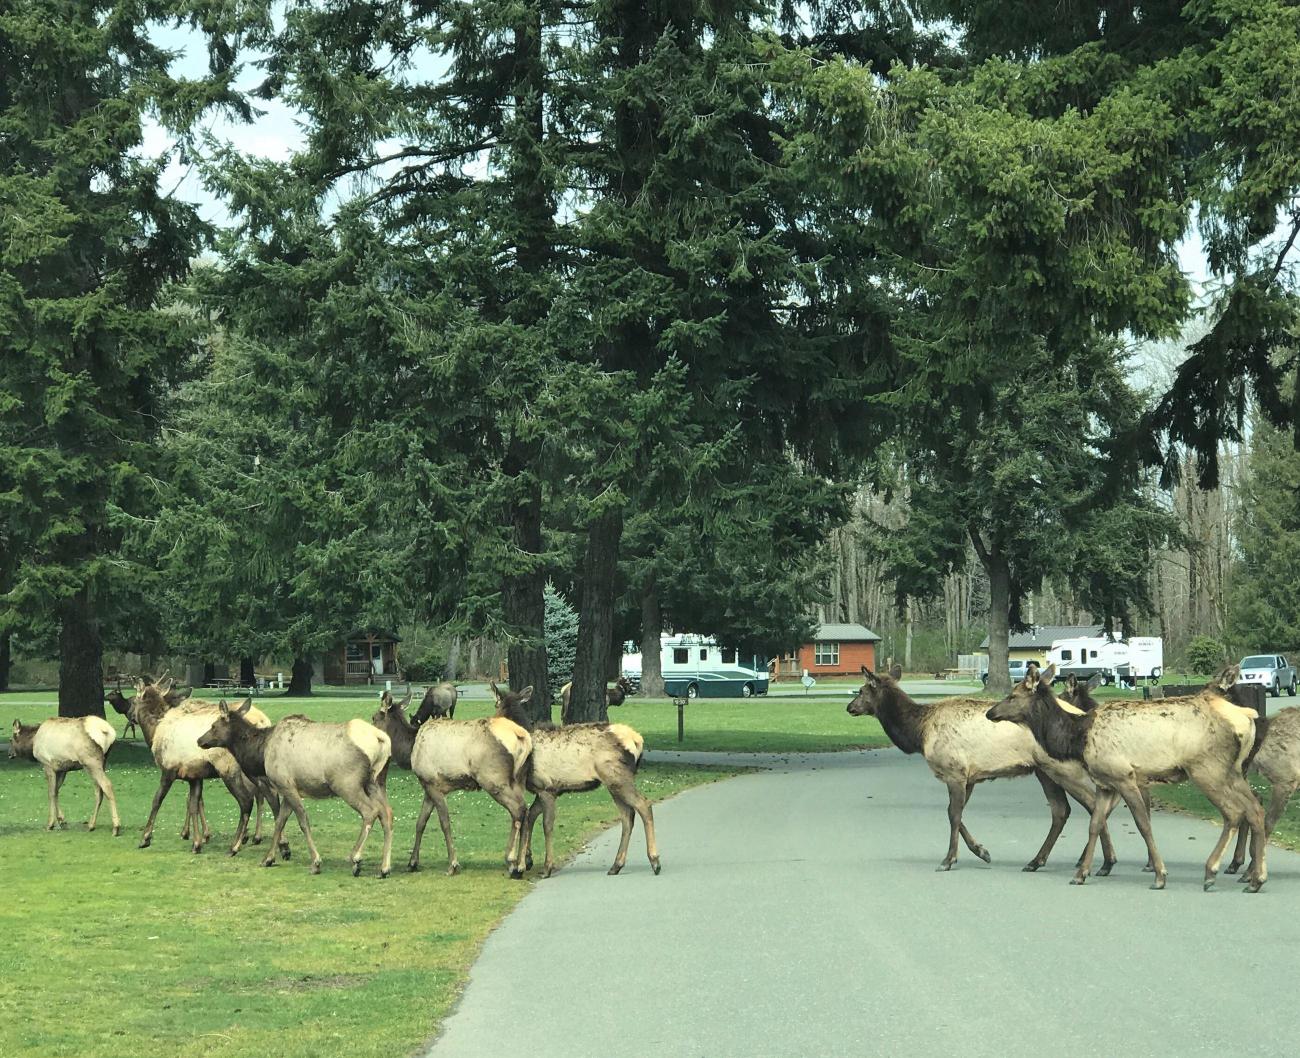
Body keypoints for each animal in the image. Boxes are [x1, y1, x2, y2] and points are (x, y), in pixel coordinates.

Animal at [131, 681, 279, 863]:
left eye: (133, 700)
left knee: (248, 800)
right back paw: (277, 844)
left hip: (229, 770)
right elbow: (194, 803)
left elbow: (158, 800)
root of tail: (262, 722)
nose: (131, 716)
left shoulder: (169, 769)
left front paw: (146, 838)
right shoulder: (194, 776)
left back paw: (237, 845)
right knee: (271, 796)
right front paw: (197, 841)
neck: (154, 731)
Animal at [195, 696, 392, 878]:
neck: (260, 754)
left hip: (346, 784)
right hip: (376, 782)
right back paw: (384, 868)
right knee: (387, 814)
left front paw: (316, 862)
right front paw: (269, 858)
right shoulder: (287, 788)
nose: (199, 740)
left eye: (213, 726)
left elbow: (302, 821)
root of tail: (381, 739)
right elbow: (280, 821)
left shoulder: (285, 783)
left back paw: (356, 858)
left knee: (370, 811)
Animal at [493, 681, 665, 883]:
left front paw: (546, 867)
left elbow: (546, 825)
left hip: (618, 777)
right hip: (613, 783)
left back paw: (655, 861)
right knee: (627, 815)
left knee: (643, 805)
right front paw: (526, 861)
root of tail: (638, 741)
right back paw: (616, 865)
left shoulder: (546, 788)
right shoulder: (546, 790)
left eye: (495, 704)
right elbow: (530, 818)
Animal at [842, 662, 1118, 878]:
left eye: (862, 690)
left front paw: (948, 860)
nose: (849, 707)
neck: (919, 733)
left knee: (1092, 804)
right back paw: (1038, 861)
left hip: (1063, 768)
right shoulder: (970, 777)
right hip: (1044, 771)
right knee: (1062, 811)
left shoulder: (954, 771)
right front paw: (982, 851)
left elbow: (953, 814)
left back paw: (1104, 862)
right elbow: (957, 813)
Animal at [987, 665, 1263, 889]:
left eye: (1012, 695)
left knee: (1233, 812)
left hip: (1207, 768)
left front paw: (1159, 875)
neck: (1077, 739)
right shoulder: (1105, 783)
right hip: (1233, 771)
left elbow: (1143, 824)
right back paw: (1254, 877)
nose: (990, 712)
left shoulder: (1124, 777)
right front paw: (1082, 873)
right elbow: (1095, 823)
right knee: (1254, 808)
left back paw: (1213, 872)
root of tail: (1248, 718)